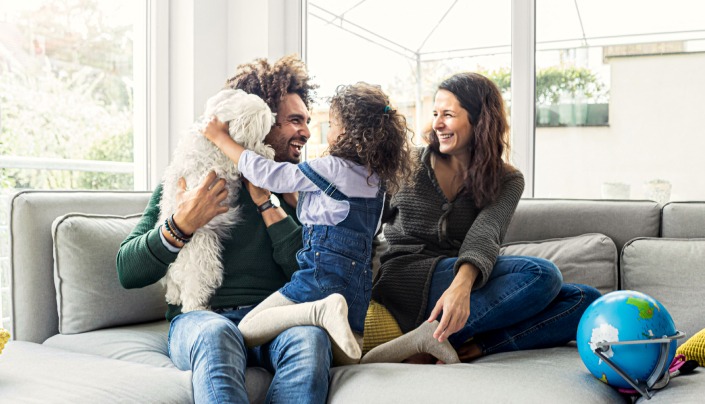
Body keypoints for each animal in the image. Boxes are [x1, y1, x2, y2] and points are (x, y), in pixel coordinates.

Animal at [160, 89, 276, 312]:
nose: (269, 138)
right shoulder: (224, 163)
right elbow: (243, 156)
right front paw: (265, 151)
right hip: (204, 256)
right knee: (193, 294)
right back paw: (197, 308)